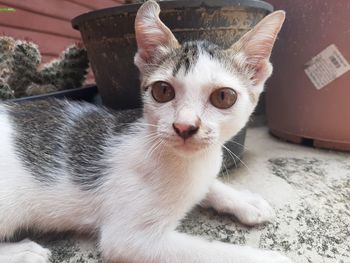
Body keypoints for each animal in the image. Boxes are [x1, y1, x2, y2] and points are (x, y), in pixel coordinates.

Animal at [0, 1, 290, 263]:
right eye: (163, 91)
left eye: (223, 97)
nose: (184, 126)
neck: (189, 163)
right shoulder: (129, 239)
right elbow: (213, 252)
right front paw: (269, 258)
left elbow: (211, 185)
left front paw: (244, 200)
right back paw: (21, 252)